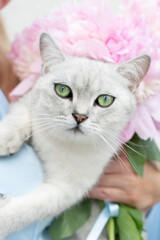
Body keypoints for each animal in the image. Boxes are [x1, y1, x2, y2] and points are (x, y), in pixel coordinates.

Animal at [0, 32, 150, 239]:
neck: (60, 143)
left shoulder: (66, 188)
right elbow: (18, 117)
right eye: (62, 90)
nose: (80, 116)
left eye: (105, 100)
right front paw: (5, 140)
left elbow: (26, 210)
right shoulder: (28, 102)